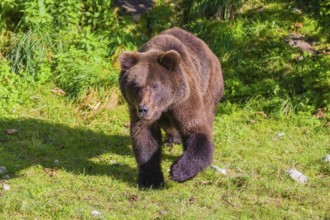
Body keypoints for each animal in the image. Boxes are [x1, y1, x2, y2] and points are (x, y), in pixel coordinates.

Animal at [117, 27, 223, 189]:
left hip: (210, 87)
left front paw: (178, 171)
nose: (143, 109)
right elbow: (145, 139)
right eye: (135, 86)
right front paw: (151, 179)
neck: (164, 106)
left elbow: (196, 129)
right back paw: (172, 138)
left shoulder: (184, 100)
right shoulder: (139, 113)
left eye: (155, 86)